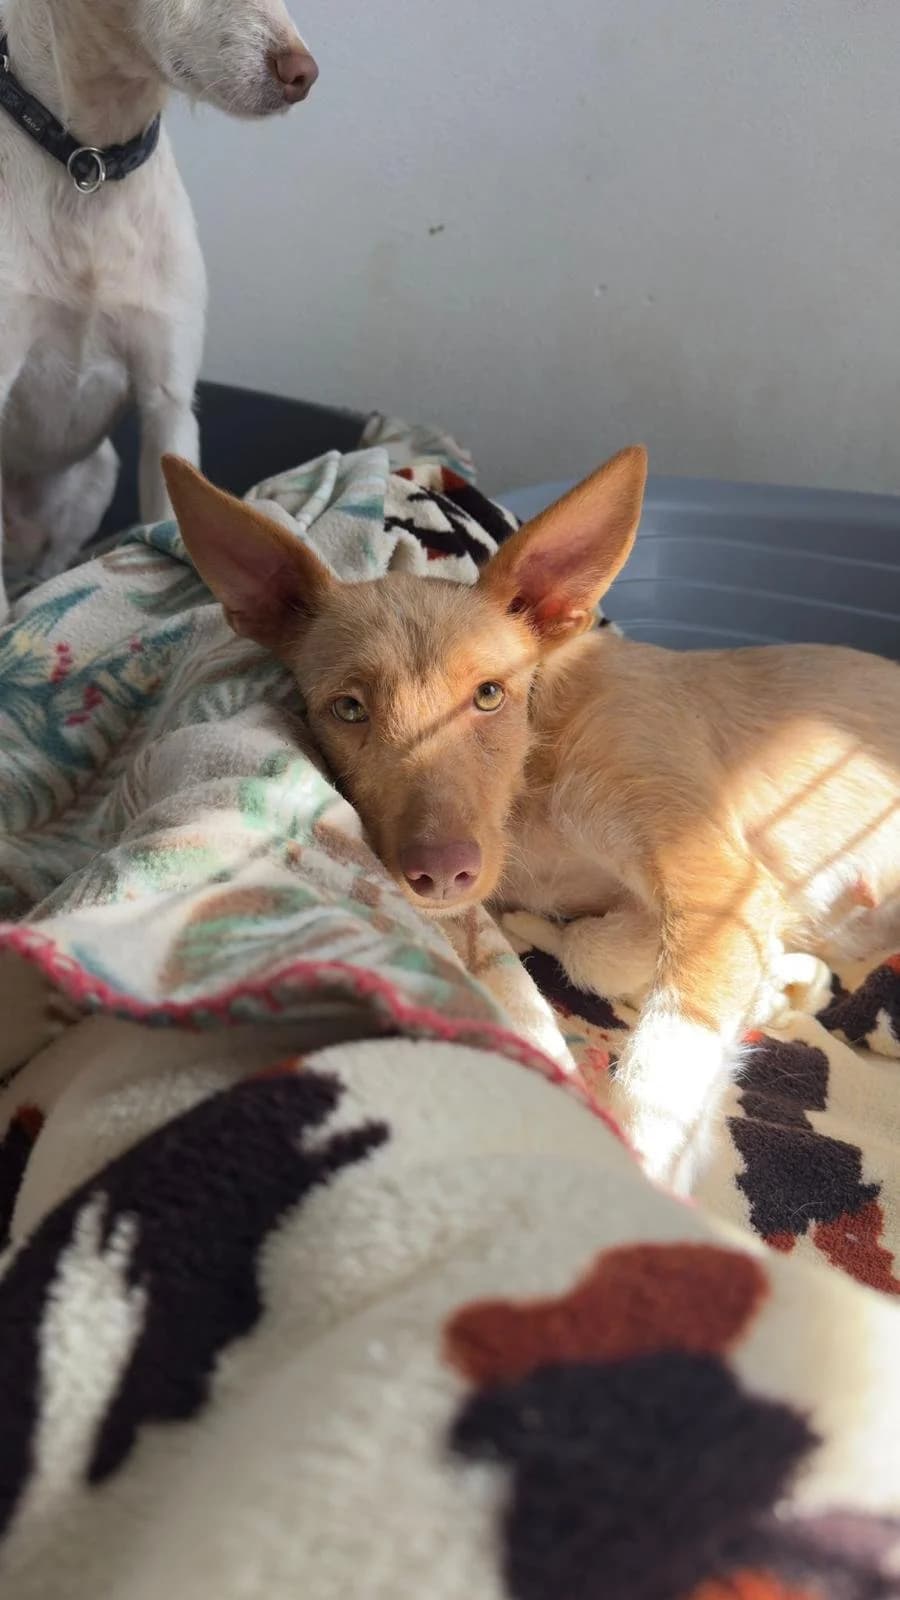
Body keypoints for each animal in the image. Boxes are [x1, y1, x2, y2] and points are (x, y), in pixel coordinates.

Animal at [0, 0, 318, 621]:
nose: (303, 75)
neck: (89, 163)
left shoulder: (167, 405)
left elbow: (166, 528)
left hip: (100, 473)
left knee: (55, 567)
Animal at [161, 449, 900, 1191]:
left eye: (490, 695)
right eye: (347, 708)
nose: (440, 874)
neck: (531, 787)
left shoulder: (720, 878)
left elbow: (662, 1057)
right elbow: (596, 951)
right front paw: (776, 981)